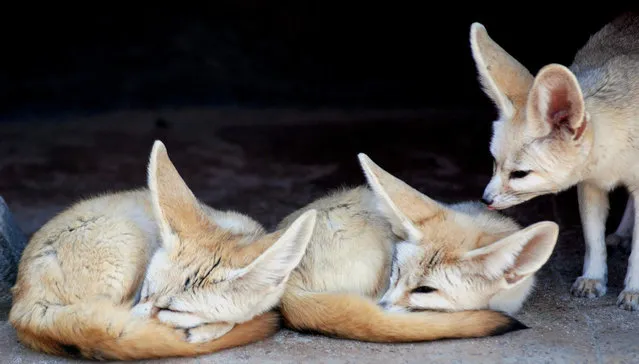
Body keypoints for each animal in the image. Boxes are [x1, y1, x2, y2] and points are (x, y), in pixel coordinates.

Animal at [468, 13, 639, 310]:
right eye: (494, 163)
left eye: (520, 174)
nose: (485, 199)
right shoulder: (591, 183)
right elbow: (593, 240)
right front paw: (593, 278)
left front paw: (634, 289)